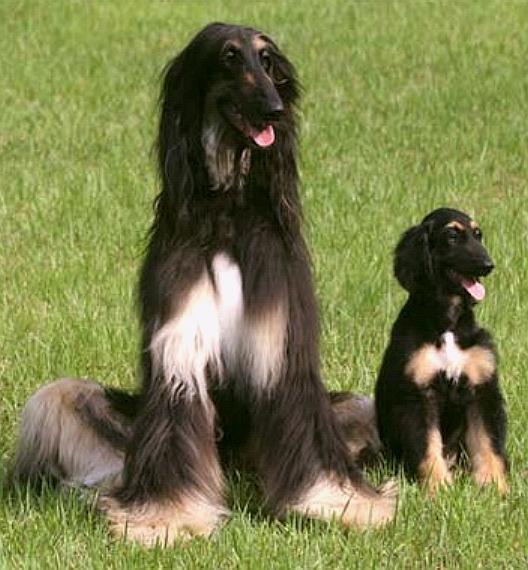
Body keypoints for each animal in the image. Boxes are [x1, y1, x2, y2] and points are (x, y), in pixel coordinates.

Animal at [12, 24, 394, 544]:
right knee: (66, 404)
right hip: (70, 404)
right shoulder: (180, 343)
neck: (227, 211)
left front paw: (339, 503)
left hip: (355, 406)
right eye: (229, 58)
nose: (274, 108)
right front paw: (166, 518)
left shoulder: (282, 341)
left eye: (268, 60)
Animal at [374, 207, 510, 492]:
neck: (447, 325)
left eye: (478, 234)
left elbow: (488, 443)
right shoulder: (418, 394)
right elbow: (427, 445)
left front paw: (495, 487)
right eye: (452, 236)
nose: (488, 265)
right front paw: (438, 487)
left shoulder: (481, 388)